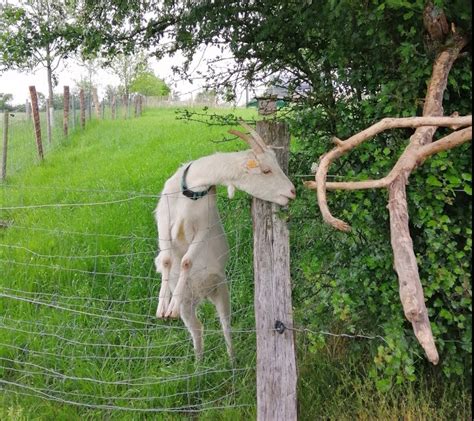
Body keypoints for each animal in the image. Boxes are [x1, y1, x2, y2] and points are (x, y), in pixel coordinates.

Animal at [154, 120, 294, 358]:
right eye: (266, 170)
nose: (292, 192)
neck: (191, 188)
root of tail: (202, 295)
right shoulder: (164, 220)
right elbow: (166, 259)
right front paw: (164, 306)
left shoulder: (203, 225)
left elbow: (186, 261)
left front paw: (169, 307)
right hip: (188, 306)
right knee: (197, 329)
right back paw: (198, 363)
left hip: (221, 290)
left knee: (224, 325)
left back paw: (231, 358)